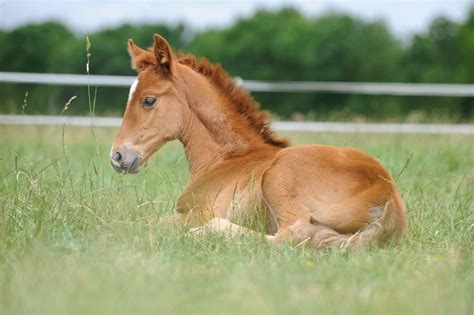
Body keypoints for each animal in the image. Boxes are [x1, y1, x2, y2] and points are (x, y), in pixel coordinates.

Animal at [111, 32, 408, 249]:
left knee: (294, 234)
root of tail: (386, 192)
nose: (117, 156)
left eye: (149, 100)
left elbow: (145, 222)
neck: (224, 160)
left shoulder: (194, 212)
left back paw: (210, 231)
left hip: (279, 176)